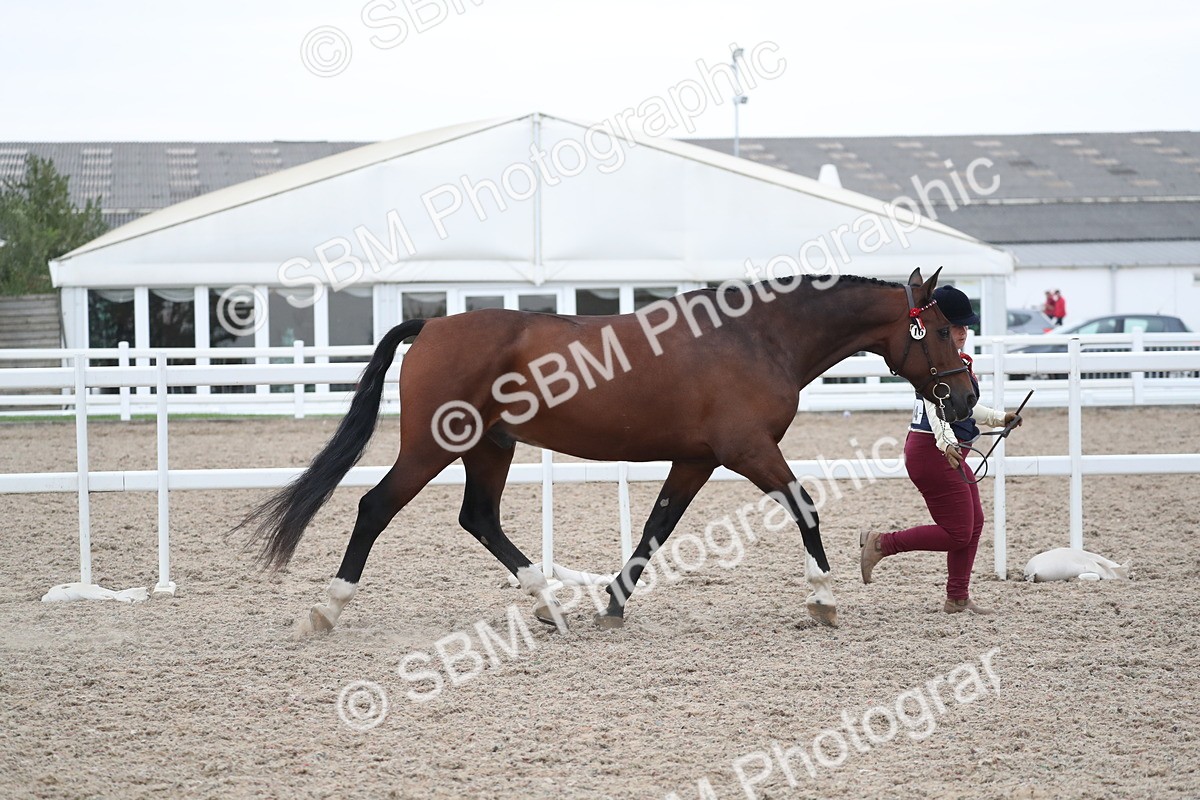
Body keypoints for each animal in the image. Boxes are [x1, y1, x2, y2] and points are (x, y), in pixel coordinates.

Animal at [236, 267, 976, 634]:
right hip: (433, 448)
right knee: (374, 508)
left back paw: (550, 603)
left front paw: (615, 604)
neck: (756, 336)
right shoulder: (748, 449)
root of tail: (433, 325)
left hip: (490, 448)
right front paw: (822, 598)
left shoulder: (698, 458)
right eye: (941, 329)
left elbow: (655, 528)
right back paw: (327, 610)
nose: (965, 401)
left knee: (479, 518)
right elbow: (806, 506)